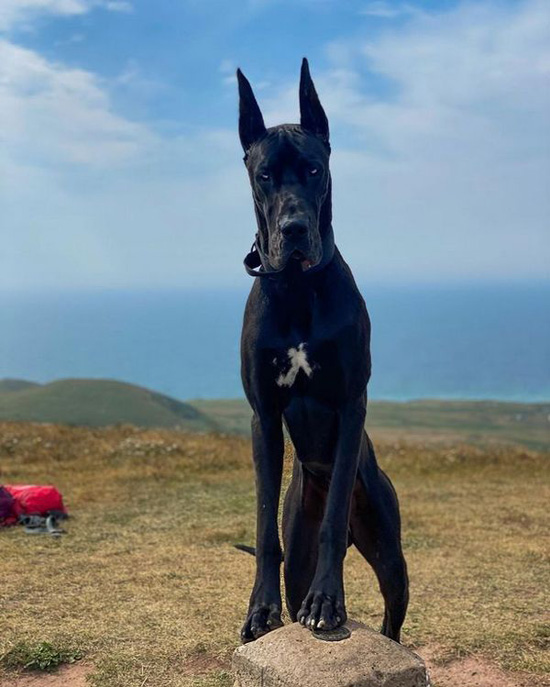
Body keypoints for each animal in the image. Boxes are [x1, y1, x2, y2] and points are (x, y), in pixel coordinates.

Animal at [237, 59, 410, 644]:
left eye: (314, 170)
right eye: (265, 174)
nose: (293, 229)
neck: (297, 286)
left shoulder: (351, 402)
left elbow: (333, 519)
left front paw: (329, 603)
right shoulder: (263, 415)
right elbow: (264, 524)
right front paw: (259, 610)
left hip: (390, 552)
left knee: (392, 617)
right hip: (299, 553)